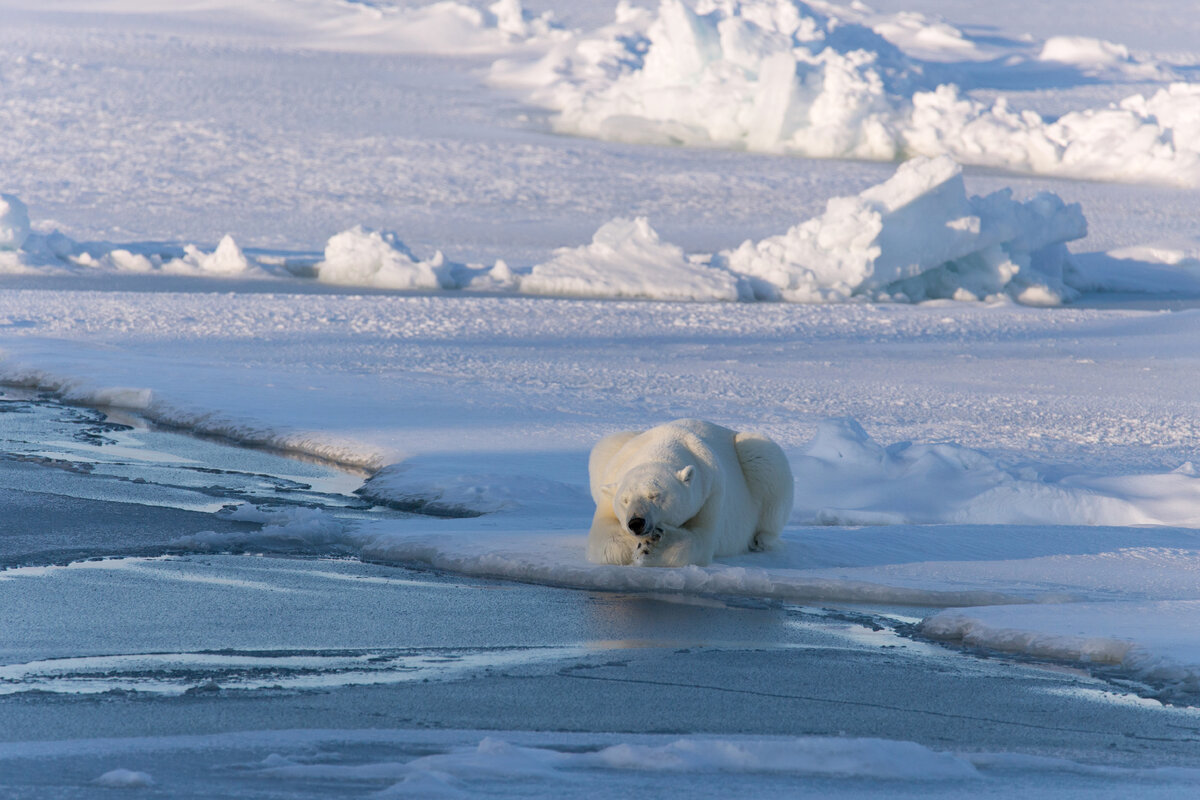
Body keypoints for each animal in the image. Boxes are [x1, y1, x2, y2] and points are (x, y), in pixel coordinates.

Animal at [585, 419, 792, 568]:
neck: (666, 442)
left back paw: (760, 540)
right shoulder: (610, 486)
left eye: (654, 495)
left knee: (765, 461)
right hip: (612, 447)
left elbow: (700, 540)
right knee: (606, 444)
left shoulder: (710, 493)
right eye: (625, 500)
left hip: (756, 456)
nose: (636, 523)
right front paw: (636, 545)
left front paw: (653, 545)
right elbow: (605, 539)